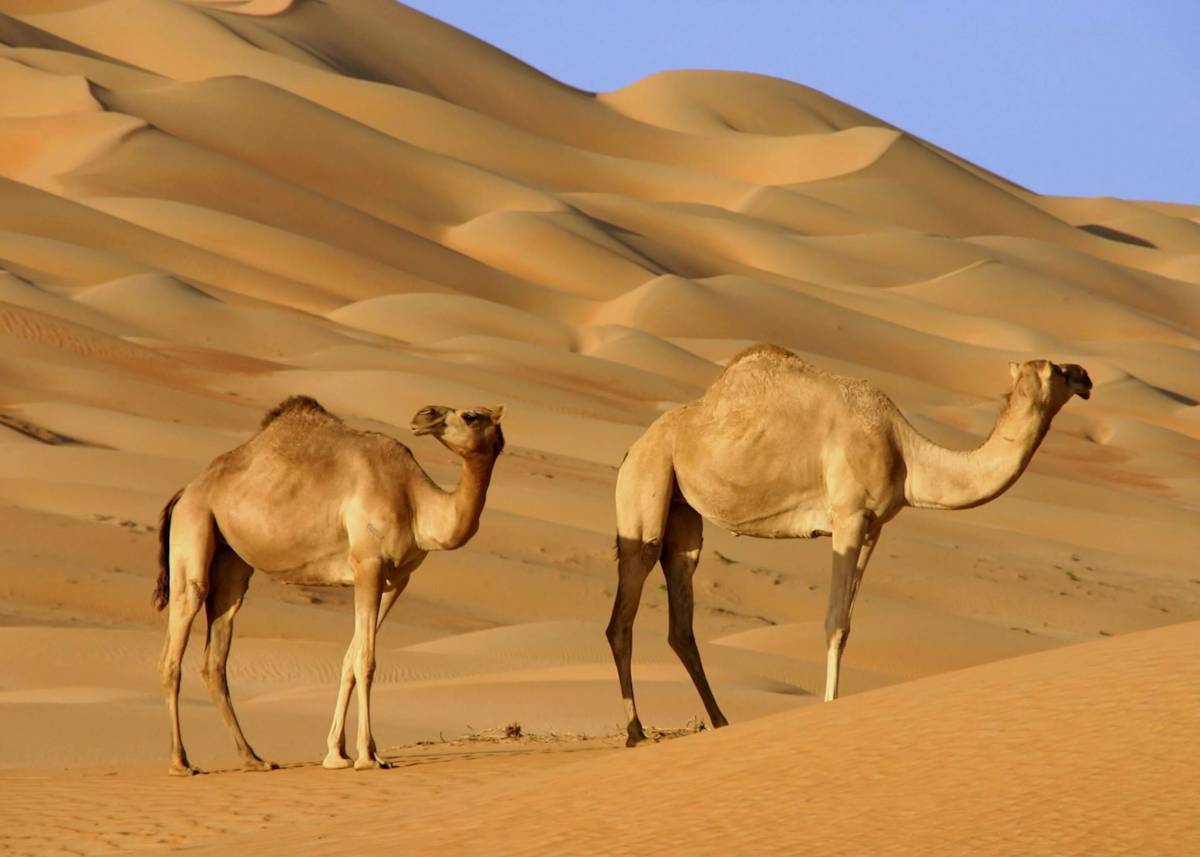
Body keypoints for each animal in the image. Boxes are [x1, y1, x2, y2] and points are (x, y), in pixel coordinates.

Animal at [153, 393, 501, 772]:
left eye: (470, 415)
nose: (424, 414)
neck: (415, 501)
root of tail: (186, 490)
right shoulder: (368, 564)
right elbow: (366, 661)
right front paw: (366, 757)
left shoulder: (397, 579)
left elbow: (350, 658)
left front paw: (338, 753)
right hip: (194, 526)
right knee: (176, 645)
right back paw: (181, 762)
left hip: (230, 561)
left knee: (215, 654)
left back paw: (254, 758)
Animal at [609, 343, 1089, 744]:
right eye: (1059, 370)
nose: (1086, 376)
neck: (905, 451)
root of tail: (633, 447)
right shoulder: (848, 516)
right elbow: (835, 622)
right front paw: (829, 708)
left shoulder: (875, 526)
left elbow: (848, 623)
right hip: (647, 480)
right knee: (625, 610)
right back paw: (636, 733)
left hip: (682, 511)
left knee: (681, 613)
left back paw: (721, 721)